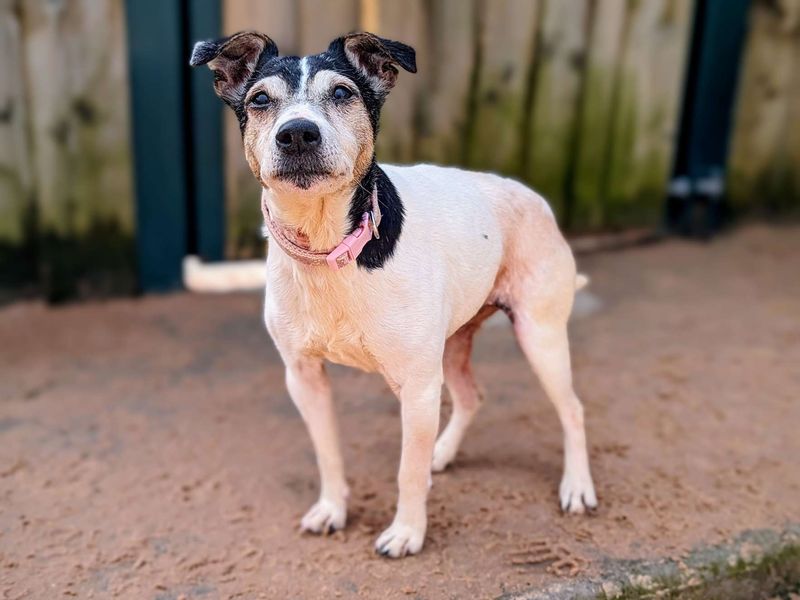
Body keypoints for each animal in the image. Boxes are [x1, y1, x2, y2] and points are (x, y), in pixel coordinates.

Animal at [191, 31, 596, 556]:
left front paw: (407, 531)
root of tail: (537, 200)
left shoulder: (418, 388)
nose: (297, 133)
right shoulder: (304, 378)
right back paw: (443, 453)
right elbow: (328, 454)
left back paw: (577, 486)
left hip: (539, 336)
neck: (329, 248)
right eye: (260, 100)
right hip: (454, 343)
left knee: (572, 409)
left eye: (342, 92)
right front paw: (333, 509)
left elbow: (407, 471)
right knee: (472, 397)